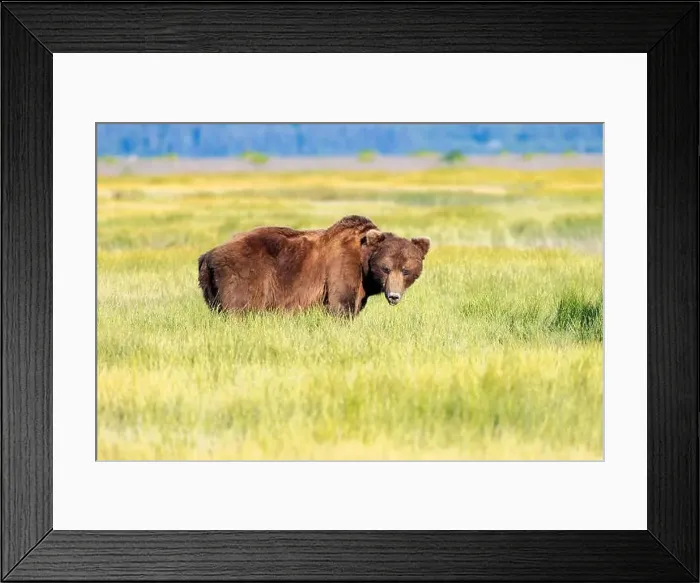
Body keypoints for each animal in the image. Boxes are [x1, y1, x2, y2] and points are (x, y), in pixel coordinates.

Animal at [197, 215, 430, 317]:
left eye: (406, 270)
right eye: (386, 268)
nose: (394, 295)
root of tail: (207, 255)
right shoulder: (342, 268)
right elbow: (341, 306)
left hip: (210, 288)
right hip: (245, 275)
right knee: (239, 309)